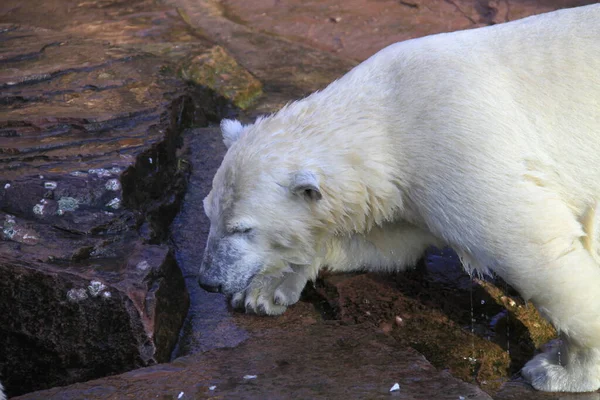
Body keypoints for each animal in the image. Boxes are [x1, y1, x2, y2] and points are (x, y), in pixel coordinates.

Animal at [198, 3, 600, 394]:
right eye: (209, 215)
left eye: (242, 228)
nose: (207, 281)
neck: (389, 114)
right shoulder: (402, 193)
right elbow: (388, 245)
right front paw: (264, 289)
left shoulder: (455, 142)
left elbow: (532, 245)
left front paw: (558, 370)